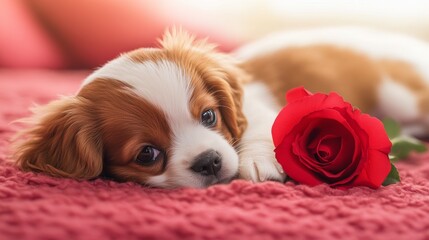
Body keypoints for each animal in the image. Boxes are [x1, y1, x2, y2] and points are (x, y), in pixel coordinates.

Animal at [11, 26, 428, 188]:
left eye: (209, 116)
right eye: (147, 154)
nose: (209, 161)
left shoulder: (261, 110)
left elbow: (261, 131)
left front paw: (258, 161)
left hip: (401, 93)